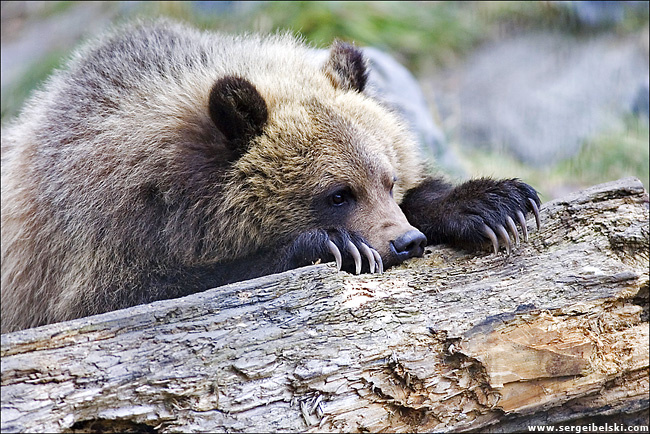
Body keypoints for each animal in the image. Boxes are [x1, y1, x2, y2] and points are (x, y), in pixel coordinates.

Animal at [0, 19, 541, 333]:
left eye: (388, 181)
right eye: (338, 194)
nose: (407, 242)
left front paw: (494, 204)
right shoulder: (94, 245)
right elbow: (150, 292)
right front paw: (334, 245)